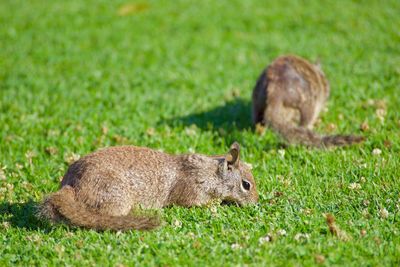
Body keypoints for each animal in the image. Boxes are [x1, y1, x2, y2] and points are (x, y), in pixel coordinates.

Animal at [38, 143, 260, 231]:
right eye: (246, 185)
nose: (256, 202)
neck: (212, 173)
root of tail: (70, 186)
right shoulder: (193, 190)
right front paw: (216, 204)